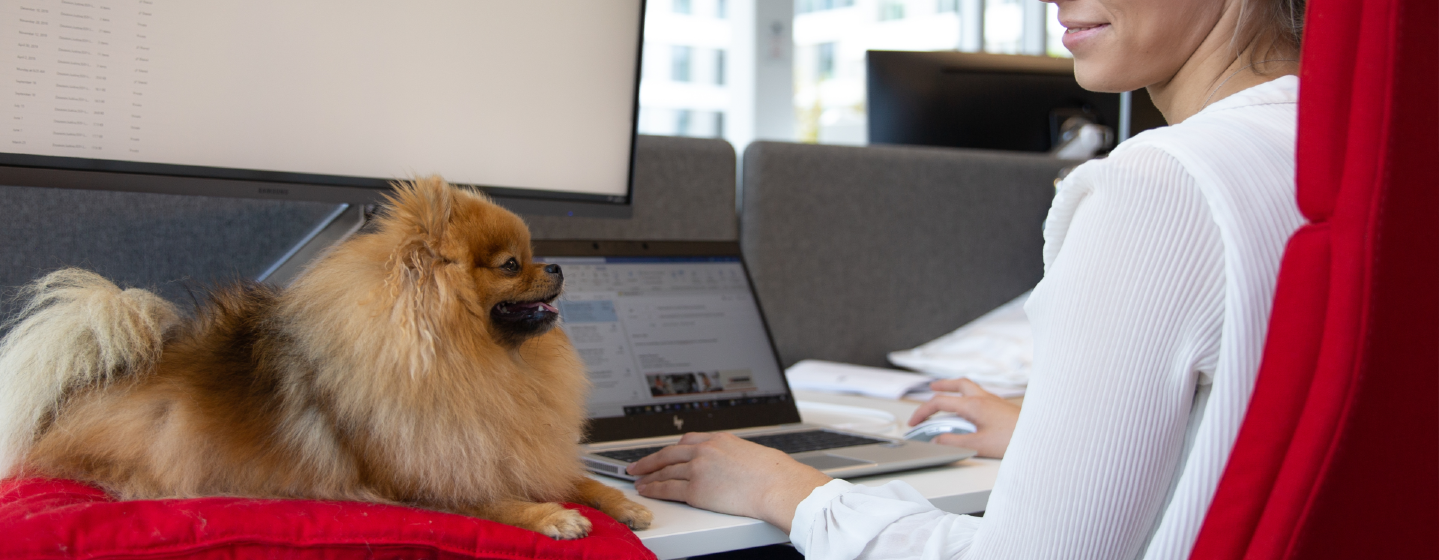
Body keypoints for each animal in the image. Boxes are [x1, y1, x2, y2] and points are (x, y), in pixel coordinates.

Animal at [0, 177, 653, 538]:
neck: (477, 361)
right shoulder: (423, 476)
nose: (559, 265)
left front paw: (625, 502)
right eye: (512, 265)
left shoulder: (513, 447)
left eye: (534, 253)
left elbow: (576, 476)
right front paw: (551, 516)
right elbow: (494, 500)